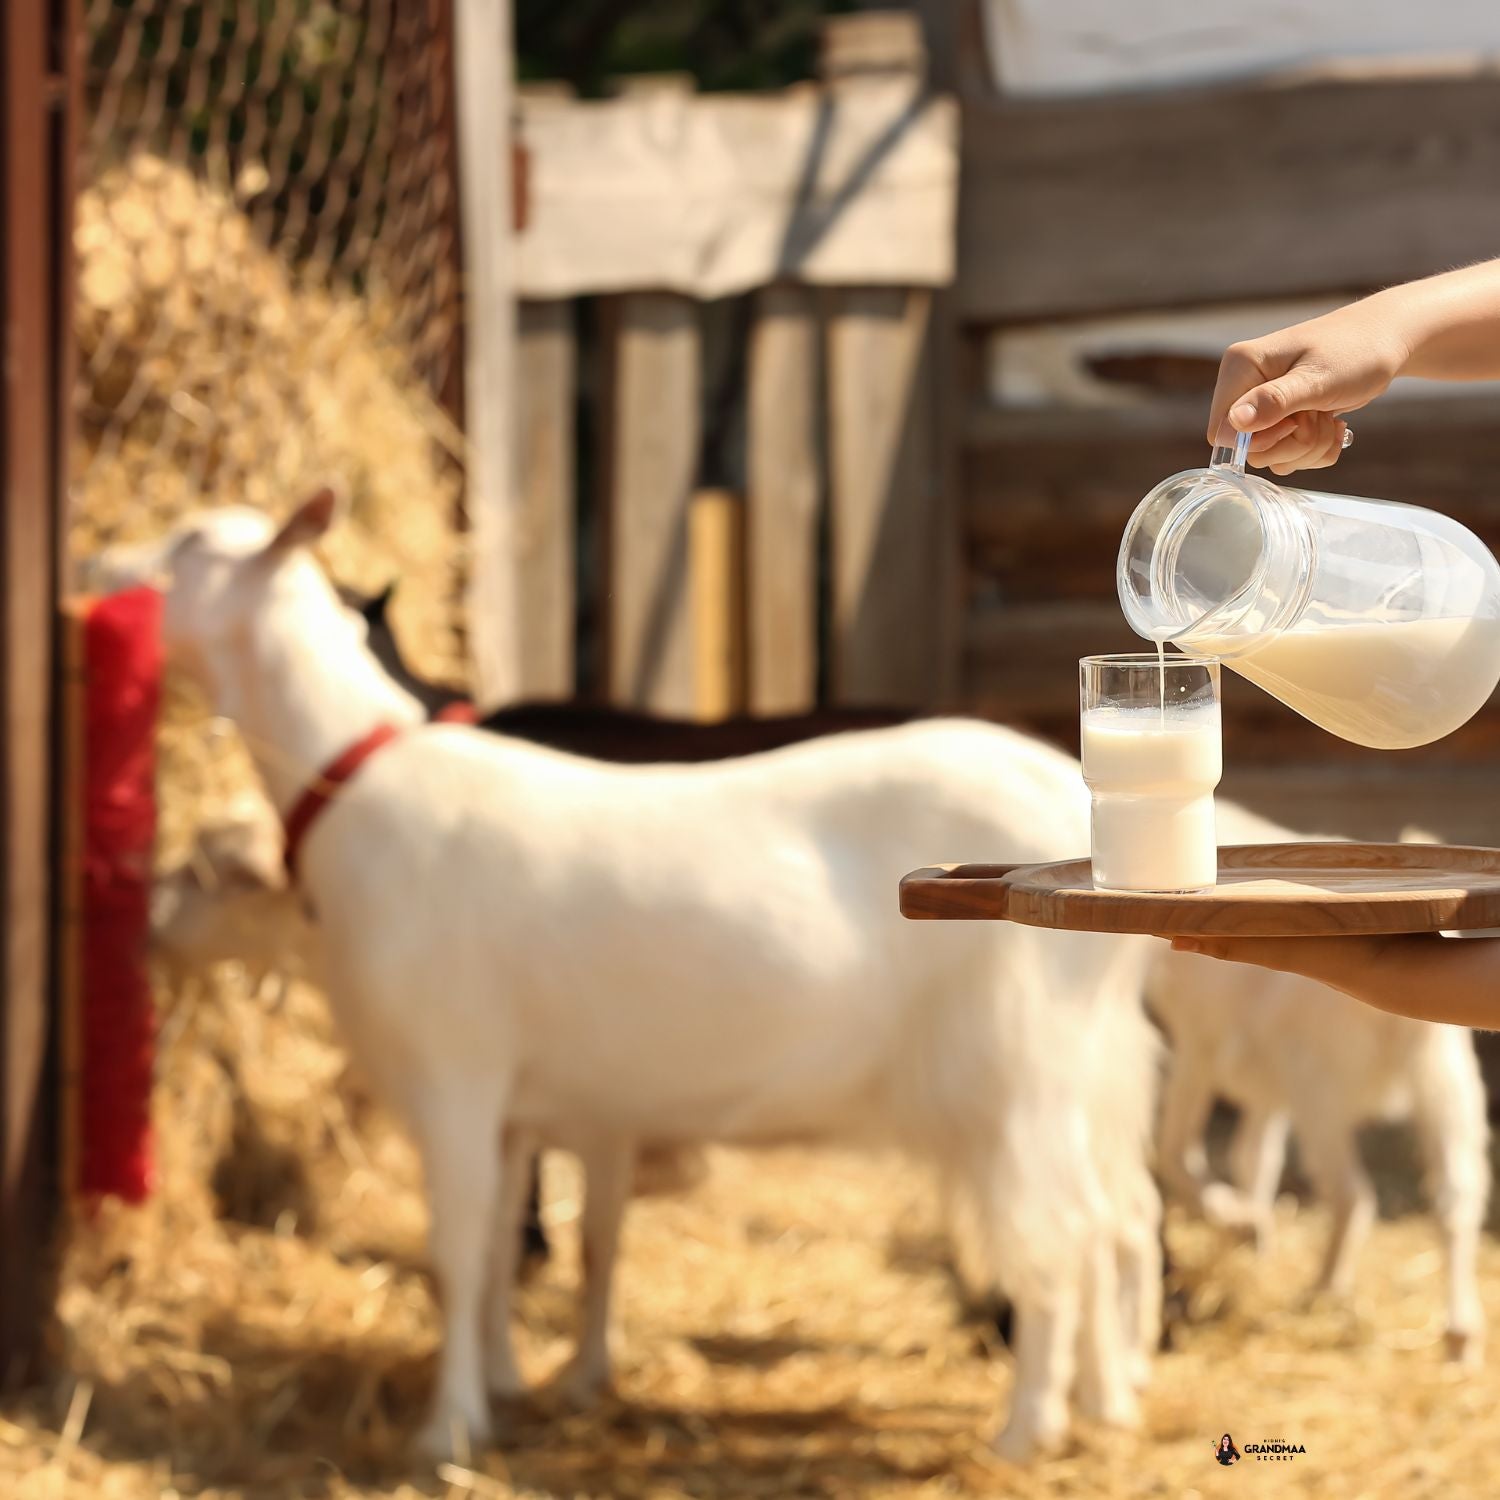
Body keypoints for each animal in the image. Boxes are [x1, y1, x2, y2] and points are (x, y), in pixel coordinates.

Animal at [105, 498, 1158, 1458]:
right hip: (1078, 1073)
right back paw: (1105, 1404)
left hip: (1013, 1076)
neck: (357, 785)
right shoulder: (517, 1110)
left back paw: (1028, 1430)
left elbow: (456, 1251)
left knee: (1062, 1236)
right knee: (1111, 1221)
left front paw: (447, 1431)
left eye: (191, 544)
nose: (98, 564)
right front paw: (503, 1388)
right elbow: (503, 1250)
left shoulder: (454, 1076)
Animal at [1146, 804, 1488, 1368]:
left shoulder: (1200, 1044)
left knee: (1353, 1195)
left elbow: (1178, 1149)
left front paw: (1234, 1220)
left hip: (1321, 1091)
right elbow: (1254, 1157)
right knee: (1456, 1196)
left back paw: (1324, 1289)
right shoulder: (1266, 1080)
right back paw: (1460, 1337)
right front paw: (1251, 1231)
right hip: (1446, 1083)